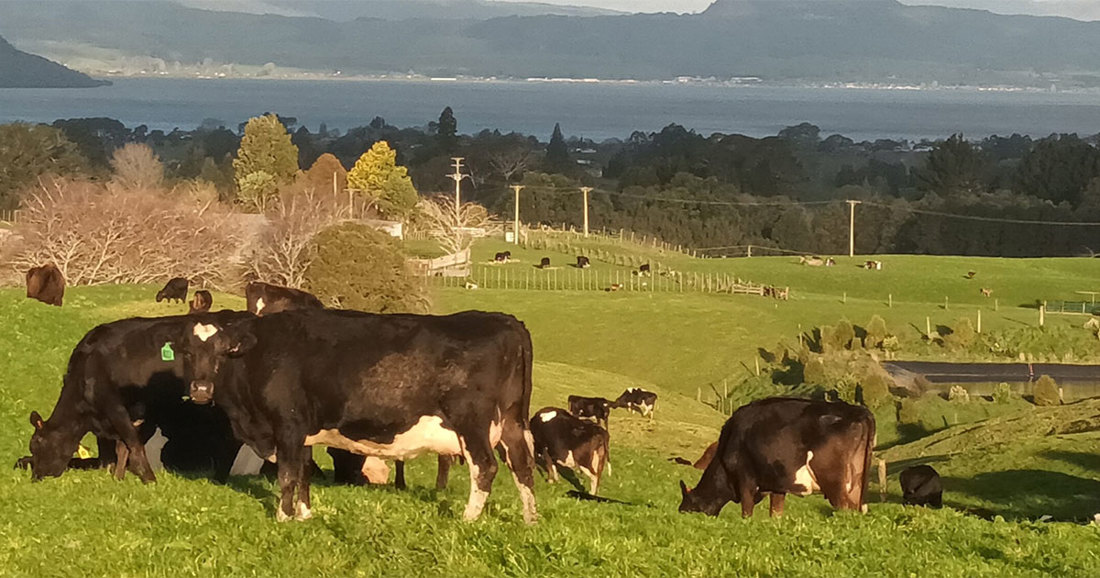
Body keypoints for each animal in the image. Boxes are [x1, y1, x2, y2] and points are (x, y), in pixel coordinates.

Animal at [23, 311, 252, 483]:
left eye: (37, 445)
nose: (36, 477)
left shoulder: (117, 408)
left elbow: (132, 443)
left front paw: (149, 479)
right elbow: (116, 448)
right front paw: (115, 476)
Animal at [173, 309, 538, 523]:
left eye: (222, 351)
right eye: (187, 352)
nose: (201, 389)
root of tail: (504, 319)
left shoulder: (287, 426)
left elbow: (288, 475)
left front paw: (283, 518)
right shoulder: (304, 432)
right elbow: (304, 473)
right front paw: (304, 515)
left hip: (472, 423)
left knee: (486, 468)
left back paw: (467, 519)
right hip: (511, 423)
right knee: (523, 467)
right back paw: (530, 520)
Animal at [679, 398, 875, 518]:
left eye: (688, 507)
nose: (679, 511)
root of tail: (859, 410)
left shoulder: (746, 480)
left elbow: (746, 512)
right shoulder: (777, 484)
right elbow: (776, 512)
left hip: (833, 480)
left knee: (844, 508)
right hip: (856, 482)